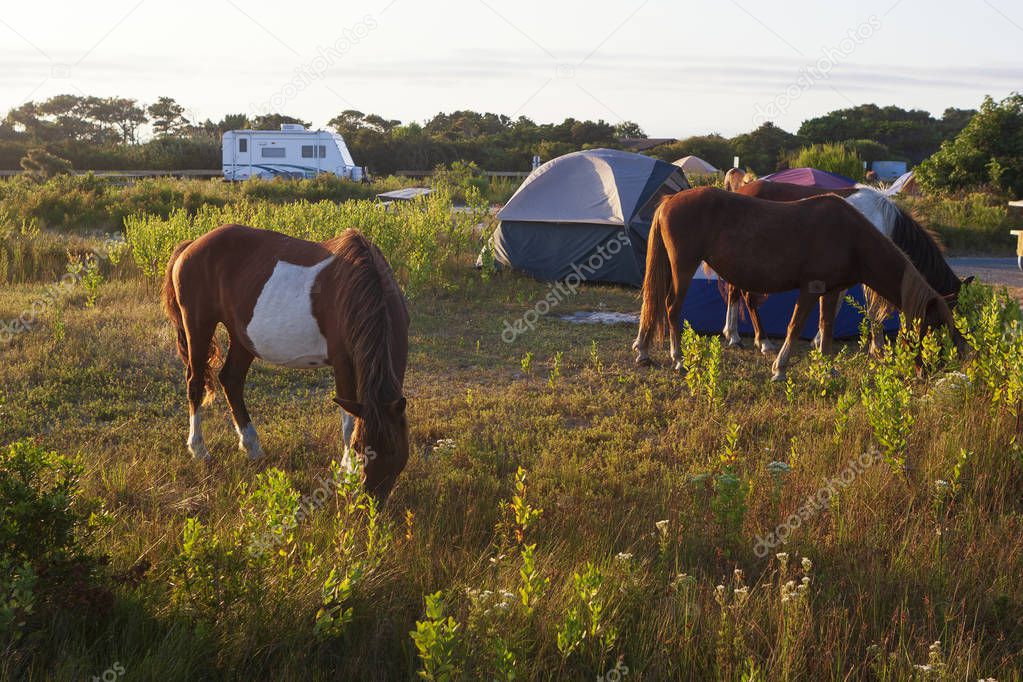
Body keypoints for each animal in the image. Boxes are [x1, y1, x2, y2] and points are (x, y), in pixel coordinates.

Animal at [161, 226, 409, 505]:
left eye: (393, 449)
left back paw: (252, 446)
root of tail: (191, 246)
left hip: (242, 337)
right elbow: (348, 424)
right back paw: (199, 449)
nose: (370, 500)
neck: (361, 285)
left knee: (231, 380)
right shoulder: (343, 363)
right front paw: (346, 474)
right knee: (195, 384)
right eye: (358, 447)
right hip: (199, 326)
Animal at [634, 189, 961, 382]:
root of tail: (669, 201)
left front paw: (828, 368)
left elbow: (827, 328)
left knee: (657, 304)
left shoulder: (830, 291)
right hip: (683, 267)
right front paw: (780, 368)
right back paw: (679, 360)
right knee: (671, 308)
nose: (929, 371)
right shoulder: (811, 288)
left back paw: (645, 352)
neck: (853, 236)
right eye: (934, 326)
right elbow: (796, 325)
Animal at [720, 178, 973, 355]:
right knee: (746, 296)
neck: (883, 223)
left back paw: (733, 335)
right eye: (949, 313)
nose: (956, 351)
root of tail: (741, 191)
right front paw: (877, 348)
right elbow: (870, 310)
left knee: (735, 292)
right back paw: (761, 340)